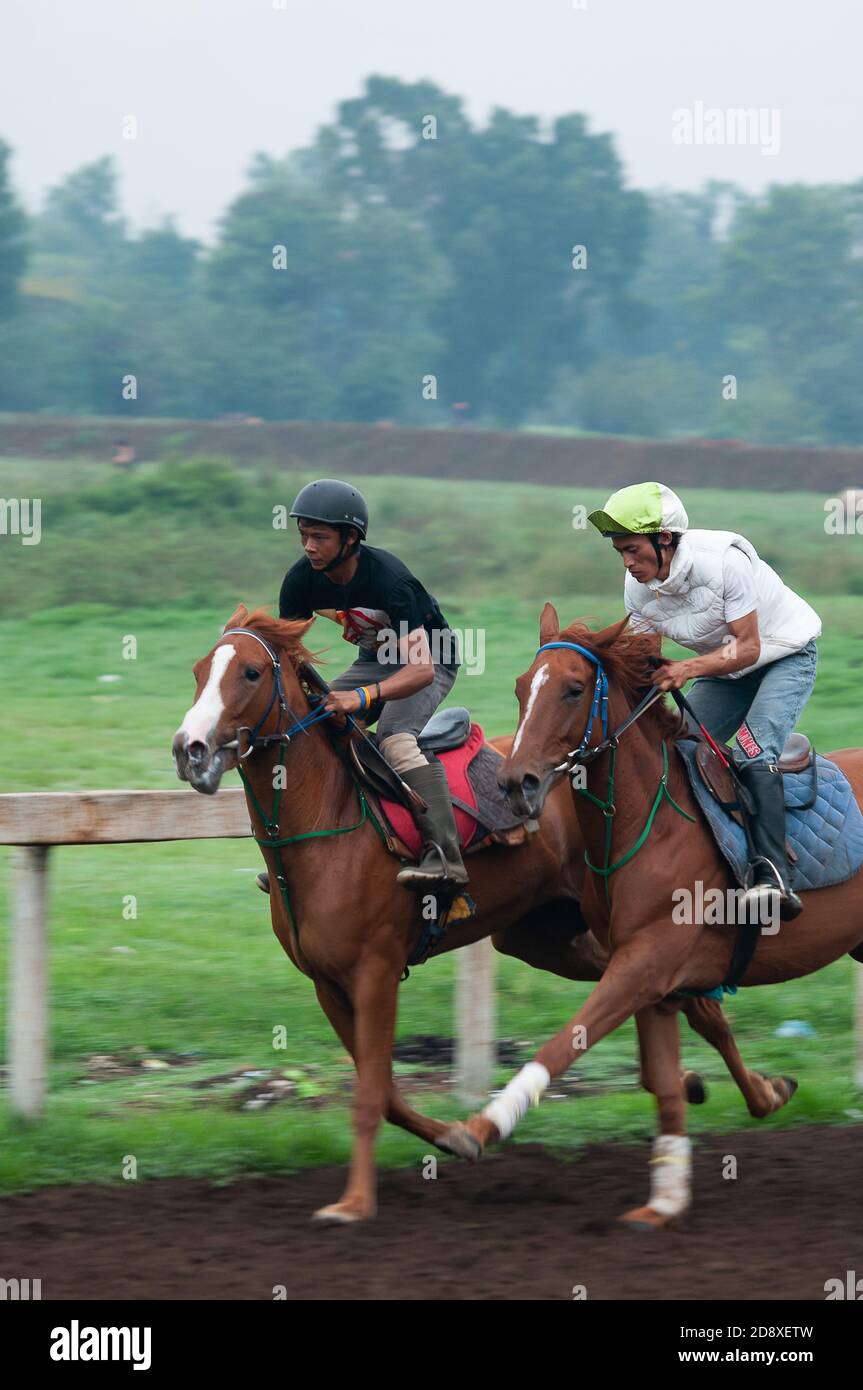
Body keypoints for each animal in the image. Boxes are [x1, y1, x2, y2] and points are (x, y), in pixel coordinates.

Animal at [173, 608, 794, 1228]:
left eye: (251, 673)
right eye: (200, 671)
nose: (190, 749)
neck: (330, 817)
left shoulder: (375, 971)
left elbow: (371, 1094)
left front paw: (354, 1202)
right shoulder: (328, 984)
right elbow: (388, 1091)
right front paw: (453, 1135)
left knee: (681, 1000)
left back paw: (748, 1090)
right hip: (548, 938)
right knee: (679, 999)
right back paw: (725, 1085)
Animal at [441, 608, 856, 1228]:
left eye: (573, 689)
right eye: (520, 686)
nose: (516, 785)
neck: (648, 824)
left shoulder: (646, 962)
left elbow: (563, 1045)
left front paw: (478, 1127)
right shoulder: (649, 973)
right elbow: (662, 1076)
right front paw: (664, 1198)